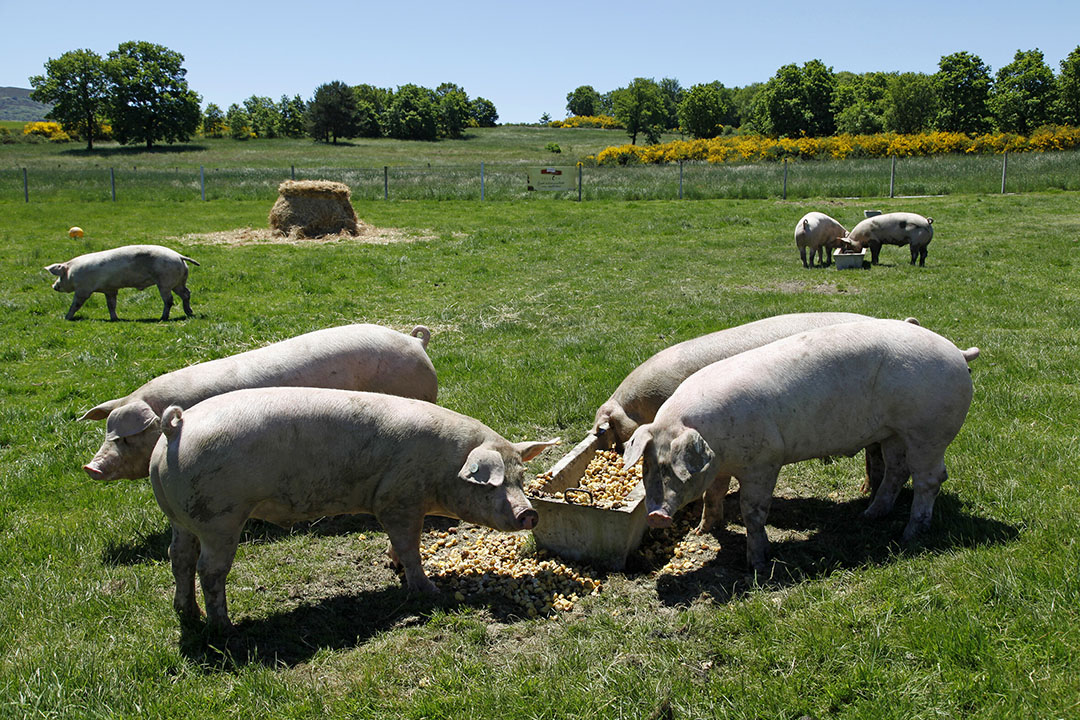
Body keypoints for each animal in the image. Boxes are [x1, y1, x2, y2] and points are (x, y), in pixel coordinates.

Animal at [46, 245, 200, 321]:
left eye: (60, 276)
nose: (53, 286)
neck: (72, 273)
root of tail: (179, 256)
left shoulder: (83, 290)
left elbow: (76, 304)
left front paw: (66, 317)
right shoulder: (110, 290)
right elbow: (111, 305)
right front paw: (115, 319)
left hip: (165, 281)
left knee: (169, 300)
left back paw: (163, 317)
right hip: (177, 282)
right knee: (186, 293)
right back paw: (189, 313)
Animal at [152, 388, 561, 630]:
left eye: (521, 477)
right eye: (492, 484)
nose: (529, 513)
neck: (443, 468)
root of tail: (175, 429)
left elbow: (401, 545)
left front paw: (393, 565)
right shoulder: (398, 499)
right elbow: (410, 547)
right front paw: (427, 590)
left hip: (181, 517)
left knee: (179, 557)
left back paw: (188, 613)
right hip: (220, 517)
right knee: (209, 569)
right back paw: (223, 626)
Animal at [617, 317, 980, 569]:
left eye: (675, 468)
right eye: (648, 465)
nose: (656, 515)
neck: (717, 446)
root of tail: (957, 352)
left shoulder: (764, 462)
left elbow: (753, 512)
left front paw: (757, 563)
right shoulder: (722, 465)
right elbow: (714, 494)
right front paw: (701, 531)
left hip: (929, 431)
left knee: (930, 478)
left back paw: (910, 534)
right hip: (893, 432)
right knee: (896, 471)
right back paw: (869, 516)